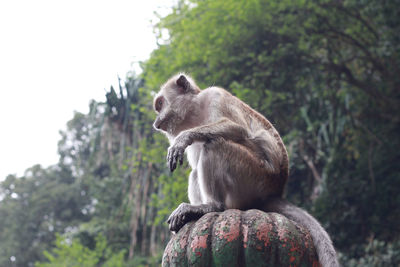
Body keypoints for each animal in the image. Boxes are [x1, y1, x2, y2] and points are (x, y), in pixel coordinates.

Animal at [152, 74, 338, 267]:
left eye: (160, 104)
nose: (156, 123)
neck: (194, 112)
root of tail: (274, 192)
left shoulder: (215, 96)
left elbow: (238, 129)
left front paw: (183, 138)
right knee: (196, 170)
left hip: (253, 175)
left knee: (214, 144)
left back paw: (212, 206)